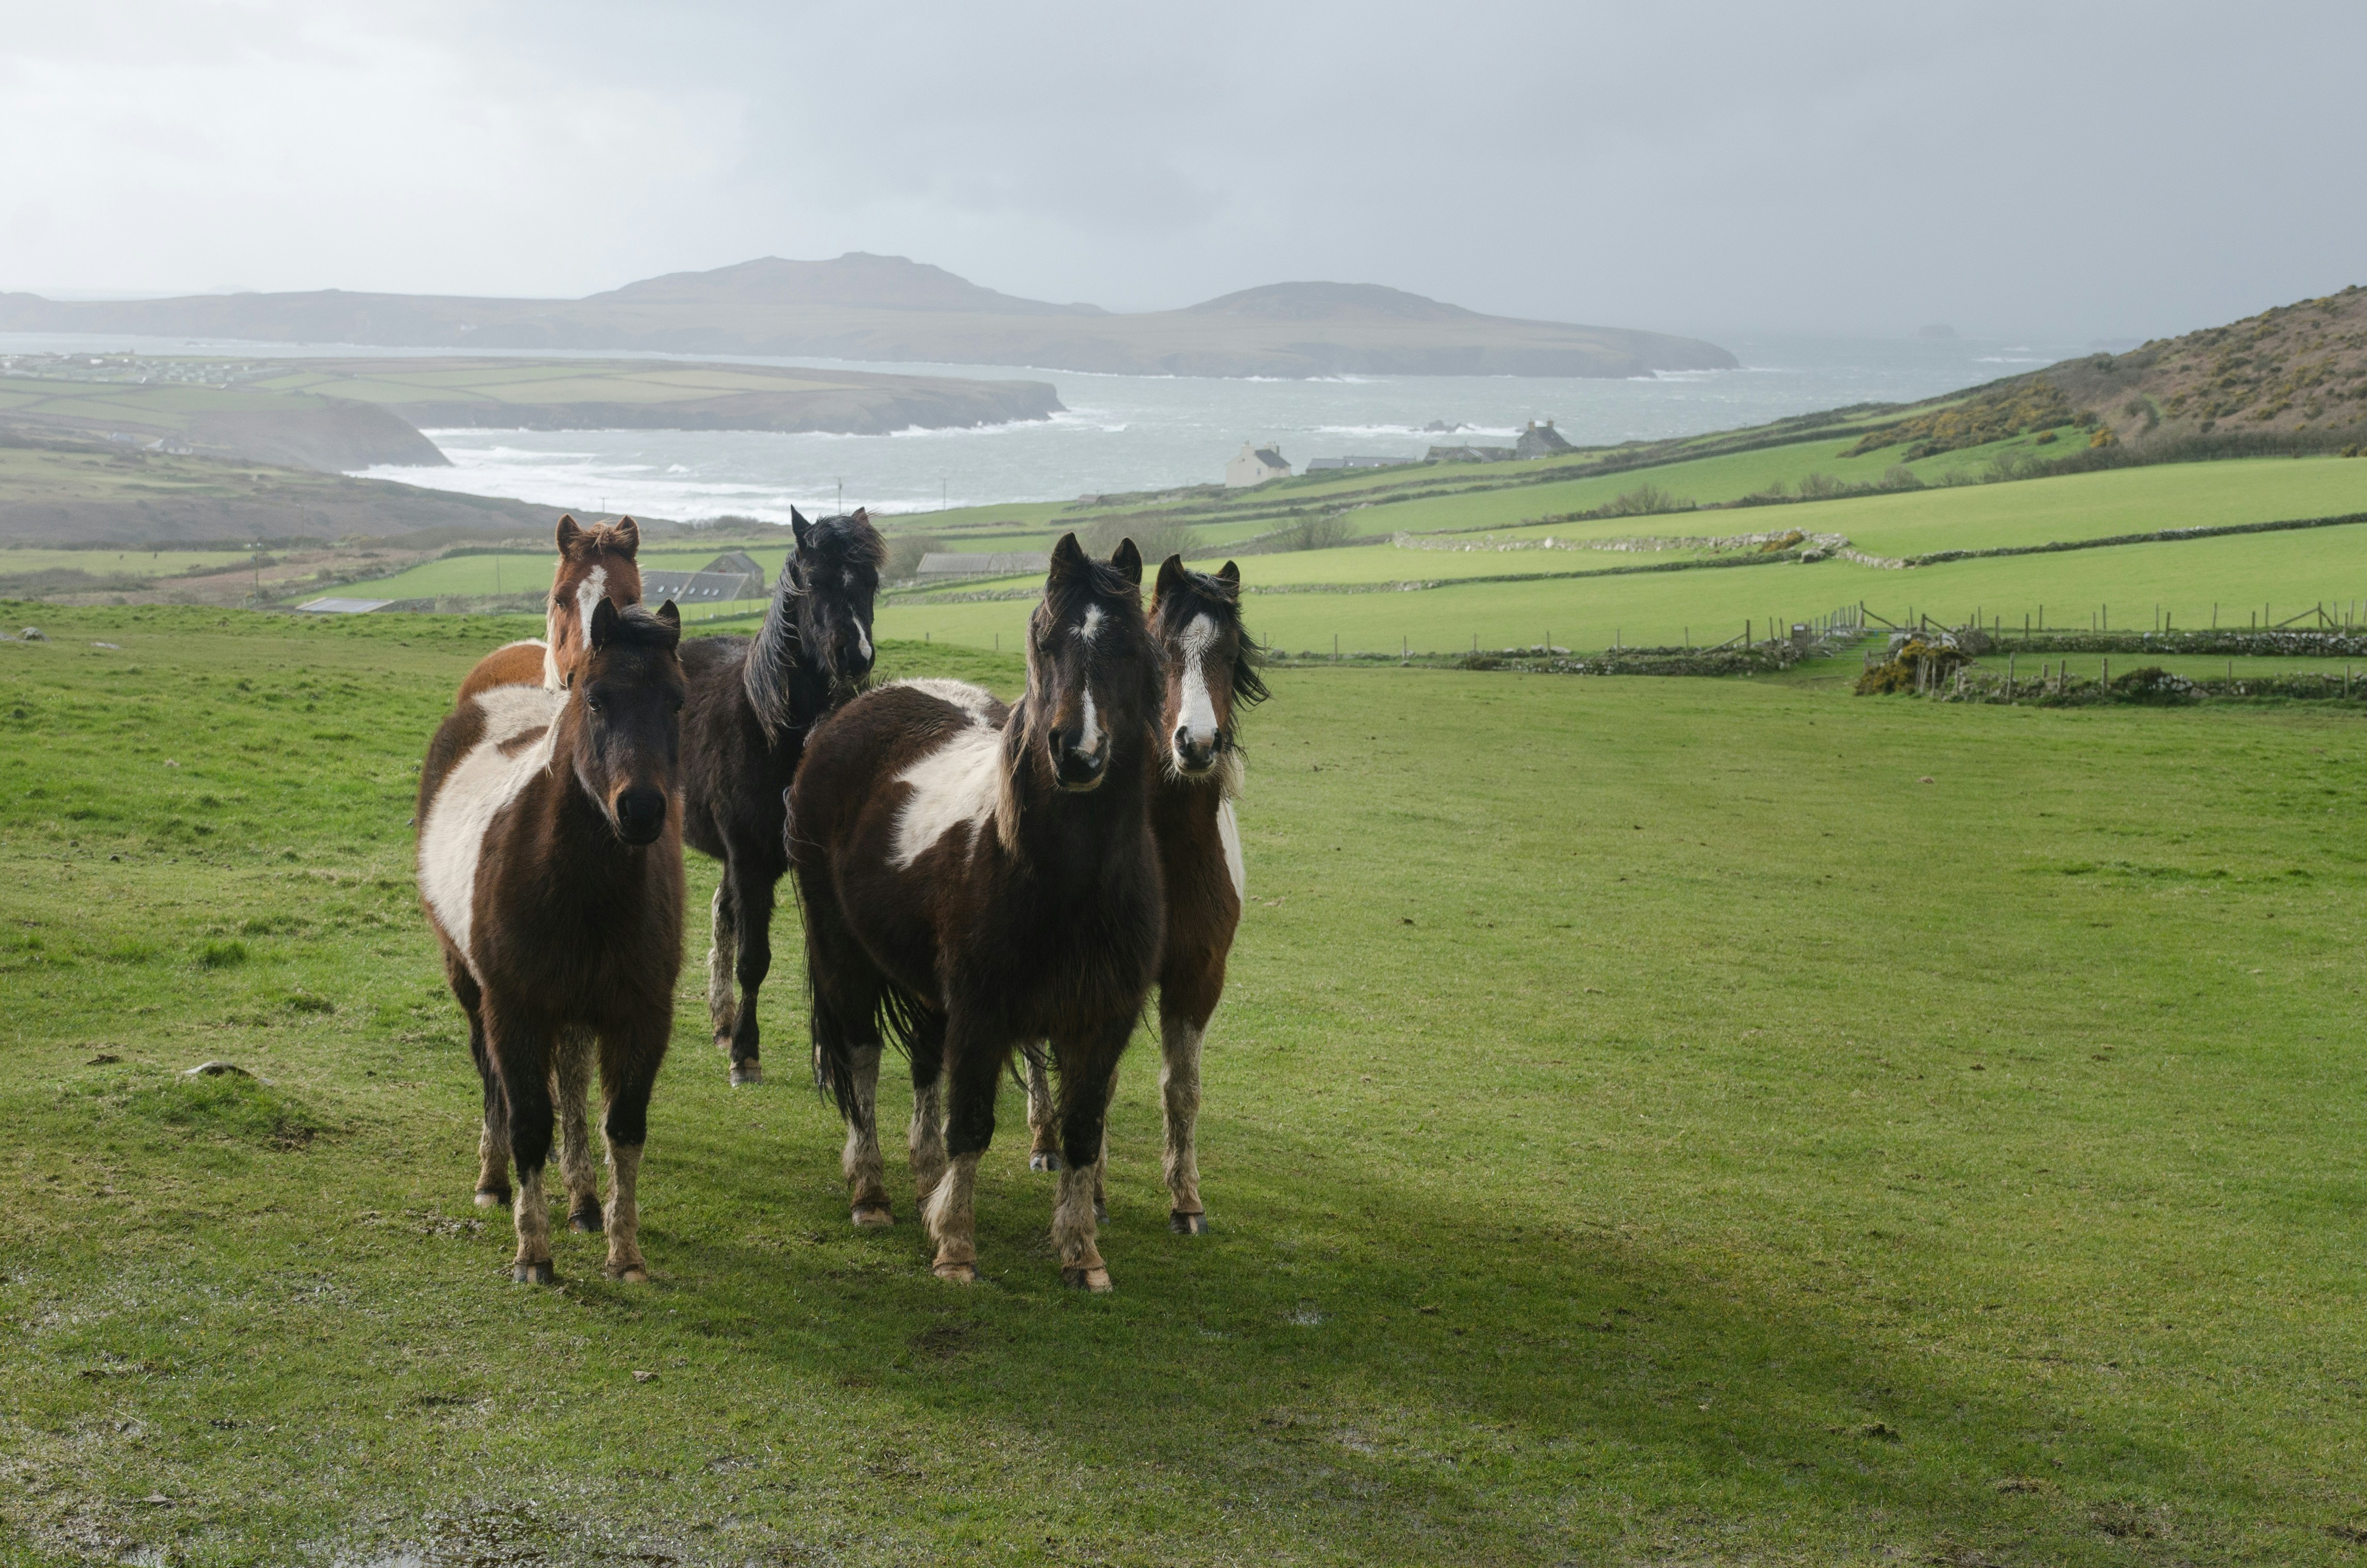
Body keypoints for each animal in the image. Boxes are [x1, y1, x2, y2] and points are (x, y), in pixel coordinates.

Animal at [416, 598, 687, 1284]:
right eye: (596, 699)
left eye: (677, 700)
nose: (641, 809)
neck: (577, 883)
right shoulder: (515, 1008)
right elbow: (530, 1121)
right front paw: (533, 1252)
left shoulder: (640, 1013)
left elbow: (623, 1125)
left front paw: (624, 1251)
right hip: (472, 985)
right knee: (491, 1075)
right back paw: (492, 1180)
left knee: (571, 1082)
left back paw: (584, 1200)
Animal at [681, 508, 884, 1088]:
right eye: (813, 581)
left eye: (871, 582)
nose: (855, 656)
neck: (772, 727)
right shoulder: (750, 859)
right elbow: (755, 959)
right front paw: (745, 1054)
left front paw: (827, 1062)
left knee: (722, 910)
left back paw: (721, 1019)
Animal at [786, 534, 1166, 1291]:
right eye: (1046, 640)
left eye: (1127, 644)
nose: (1076, 752)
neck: (1068, 882)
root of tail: (856, 710)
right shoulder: (983, 1011)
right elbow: (971, 1122)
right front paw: (956, 1246)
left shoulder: (1101, 1019)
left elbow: (1082, 1133)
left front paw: (1081, 1253)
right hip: (842, 954)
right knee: (863, 1059)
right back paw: (871, 1193)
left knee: (923, 1063)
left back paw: (922, 1182)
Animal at [1022, 555, 1264, 1234]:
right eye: (1163, 651)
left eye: (1228, 652)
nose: (1196, 744)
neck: (1170, 852)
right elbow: (1094, 1086)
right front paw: (1095, 1194)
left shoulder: (1198, 976)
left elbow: (1182, 1088)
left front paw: (1186, 1200)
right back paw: (1045, 1143)